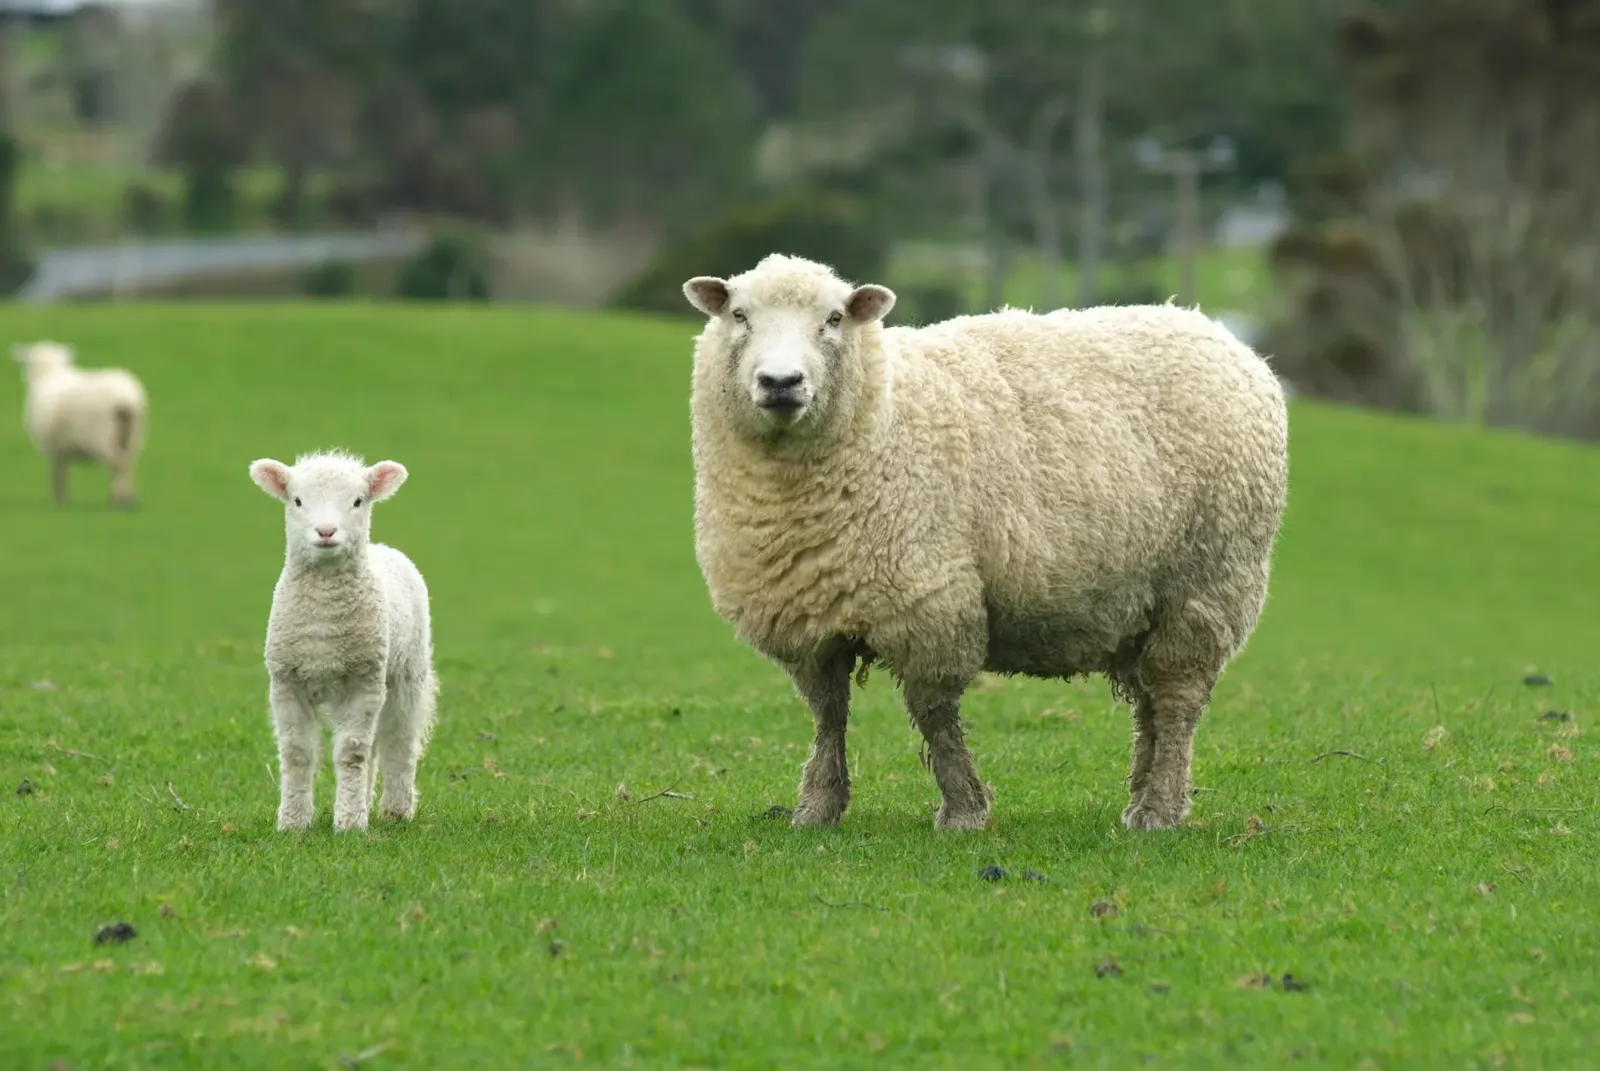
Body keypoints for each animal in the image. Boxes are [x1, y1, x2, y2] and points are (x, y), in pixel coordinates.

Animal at [12, 340, 147, 508]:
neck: (48, 372)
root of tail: (125, 397)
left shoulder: (54, 446)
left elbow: (58, 472)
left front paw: (59, 499)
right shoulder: (61, 446)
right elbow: (62, 470)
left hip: (106, 436)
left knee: (117, 463)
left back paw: (120, 499)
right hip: (132, 434)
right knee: (128, 463)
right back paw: (128, 498)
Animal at [248, 449, 439, 833]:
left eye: (357, 501)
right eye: (297, 500)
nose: (326, 531)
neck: (324, 623)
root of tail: (384, 548)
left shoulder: (363, 679)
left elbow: (351, 753)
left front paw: (349, 823)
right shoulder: (286, 681)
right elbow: (297, 752)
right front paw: (294, 822)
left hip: (406, 674)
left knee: (398, 741)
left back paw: (395, 810)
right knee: (374, 747)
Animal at [682, 254, 1289, 832]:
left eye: (833, 319)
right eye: (739, 315)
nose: (780, 382)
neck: (883, 415)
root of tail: (1216, 333)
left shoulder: (930, 603)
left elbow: (933, 714)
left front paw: (963, 811)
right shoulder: (808, 620)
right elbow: (828, 714)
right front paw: (818, 808)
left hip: (1207, 582)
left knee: (1178, 698)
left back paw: (1160, 809)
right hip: (1141, 603)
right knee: (1150, 706)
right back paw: (1143, 794)